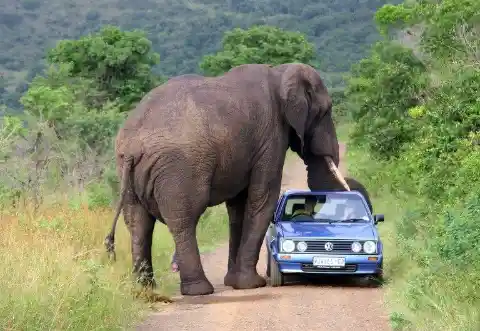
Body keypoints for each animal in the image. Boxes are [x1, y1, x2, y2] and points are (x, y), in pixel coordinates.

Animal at [104, 63, 348, 296]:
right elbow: (263, 199)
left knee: (138, 223)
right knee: (184, 220)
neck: (280, 72)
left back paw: (144, 290)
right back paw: (199, 290)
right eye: (326, 111)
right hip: (179, 169)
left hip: (127, 171)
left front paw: (234, 282)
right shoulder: (270, 138)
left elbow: (238, 208)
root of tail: (133, 146)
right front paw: (251, 285)